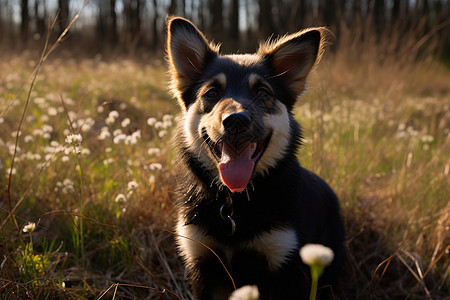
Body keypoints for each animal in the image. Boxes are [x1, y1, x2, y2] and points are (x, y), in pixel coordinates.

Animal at [167, 17, 346, 300]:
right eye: (211, 93)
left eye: (262, 93)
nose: (235, 121)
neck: (235, 202)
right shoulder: (202, 260)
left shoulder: (286, 264)